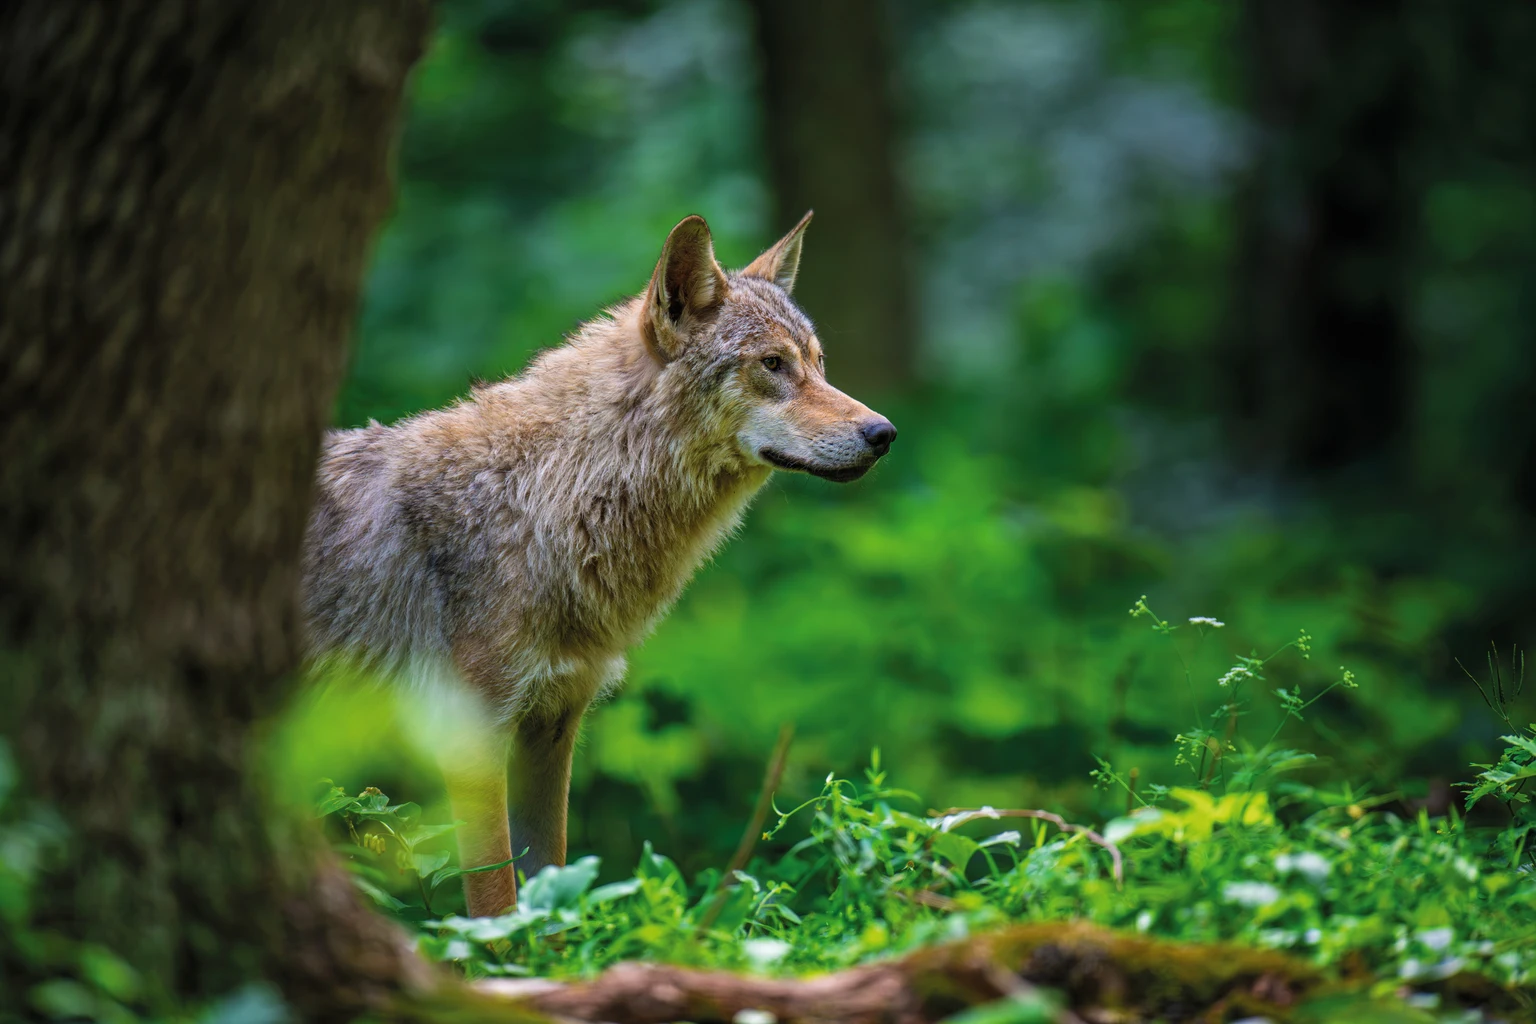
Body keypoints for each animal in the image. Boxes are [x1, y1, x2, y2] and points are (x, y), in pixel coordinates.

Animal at [301, 213, 896, 916]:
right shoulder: (471, 741)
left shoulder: (553, 727)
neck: (550, 496)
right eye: (772, 364)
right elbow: (497, 908)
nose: (884, 434)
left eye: (818, 364)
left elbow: (548, 892)